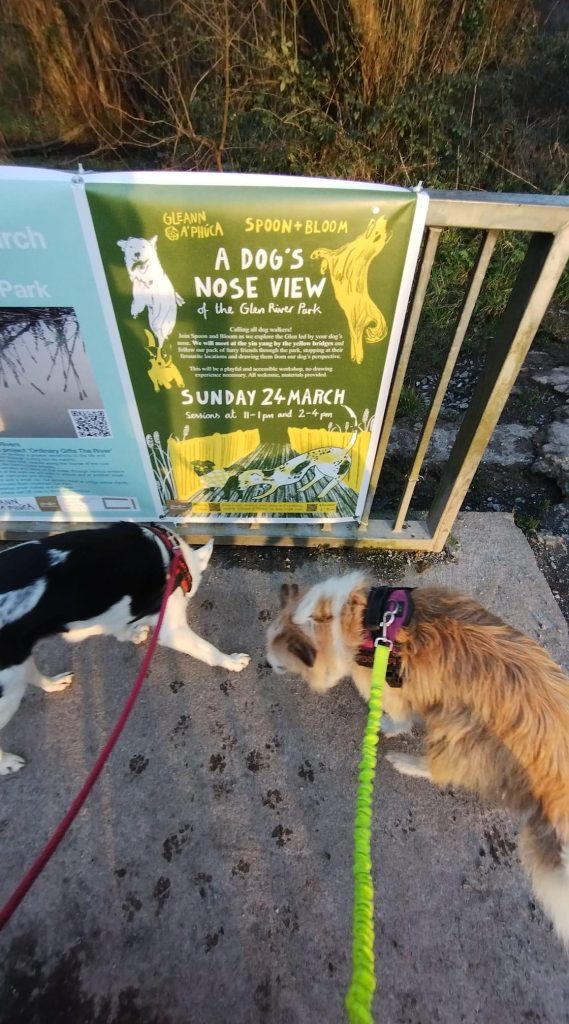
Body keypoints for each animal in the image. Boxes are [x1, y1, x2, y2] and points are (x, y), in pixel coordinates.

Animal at [0, 520, 248, 774]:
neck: (172, 551)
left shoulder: (112, 616)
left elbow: (120, 629)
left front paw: (135, 633)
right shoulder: (173, 629)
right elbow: (209, 650)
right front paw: (232, 661)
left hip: (16, 663)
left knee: (31, 674)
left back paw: (53, 684)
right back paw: (7, 762)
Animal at [264, 573, 569, 946]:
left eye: (279, 663)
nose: (265, 664)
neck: (354, 618)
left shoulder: (391, 690)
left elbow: (398, 718)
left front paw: (385, 725)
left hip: (457, 727)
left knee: (441, 768)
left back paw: (405, 762)